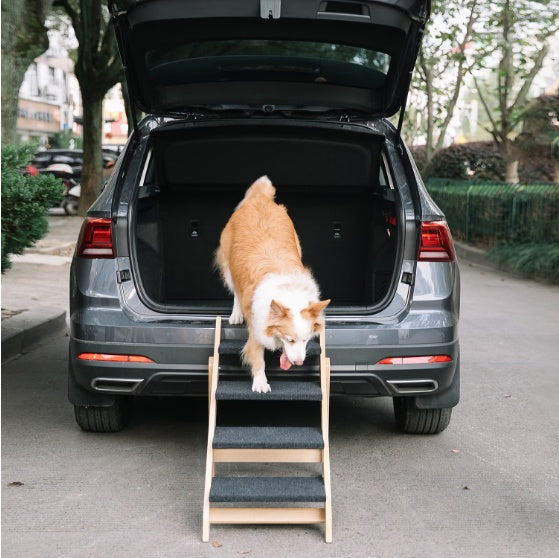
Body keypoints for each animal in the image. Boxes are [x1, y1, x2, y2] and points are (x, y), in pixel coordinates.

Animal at [217, 176, 330, 394]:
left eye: (305, 340)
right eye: (290, 340)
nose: (298, 363)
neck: (289, 292)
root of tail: (260, 199)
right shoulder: (257, 323)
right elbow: (257, 356)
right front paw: (260, 383)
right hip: (228, 265)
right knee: (235, 290)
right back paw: (235, 314)